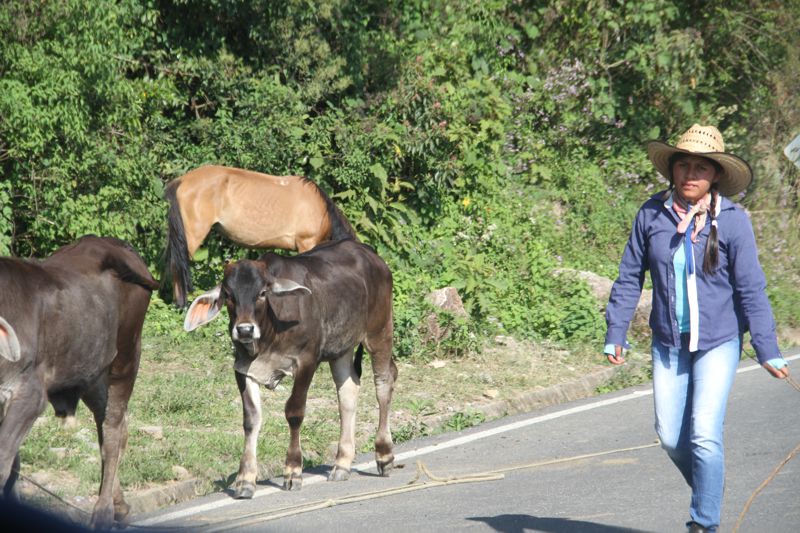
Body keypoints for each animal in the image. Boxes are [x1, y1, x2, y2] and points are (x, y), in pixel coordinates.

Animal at [0, 235, 159, 524]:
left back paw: (104, 512)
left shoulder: (29, 397)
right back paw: (119, 505)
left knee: (114, 430)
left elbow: (4, 462)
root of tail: (113, 244)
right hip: (91, 373)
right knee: (108, 423)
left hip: (127, 356)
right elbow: (14, 463)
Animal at [188, 237, 400, 494]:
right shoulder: (242, 367)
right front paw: (245, 478)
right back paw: (341, 463)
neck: (270, 333)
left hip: (379, 331)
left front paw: (292, 470)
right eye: (228, 294)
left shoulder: (307, 361)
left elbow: (294, 412)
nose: (245, 330)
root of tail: (370, 254)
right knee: (348, 391)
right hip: (342, 348)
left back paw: (384, 455)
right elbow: (251, 419)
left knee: (383, 383)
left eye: (262, 292)